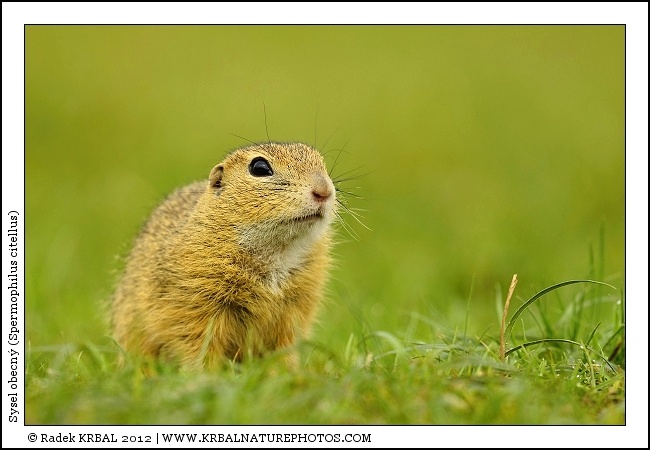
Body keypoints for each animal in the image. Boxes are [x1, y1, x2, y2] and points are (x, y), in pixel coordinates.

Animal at [111, 142, 338, 368]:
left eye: (322, 163)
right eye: (259, 168)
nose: (324, 191)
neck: (276, 253)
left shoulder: (296, 308)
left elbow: (285, 350)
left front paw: (287, 372)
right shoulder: (195, 305)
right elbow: (199, 345)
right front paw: (206, 373)